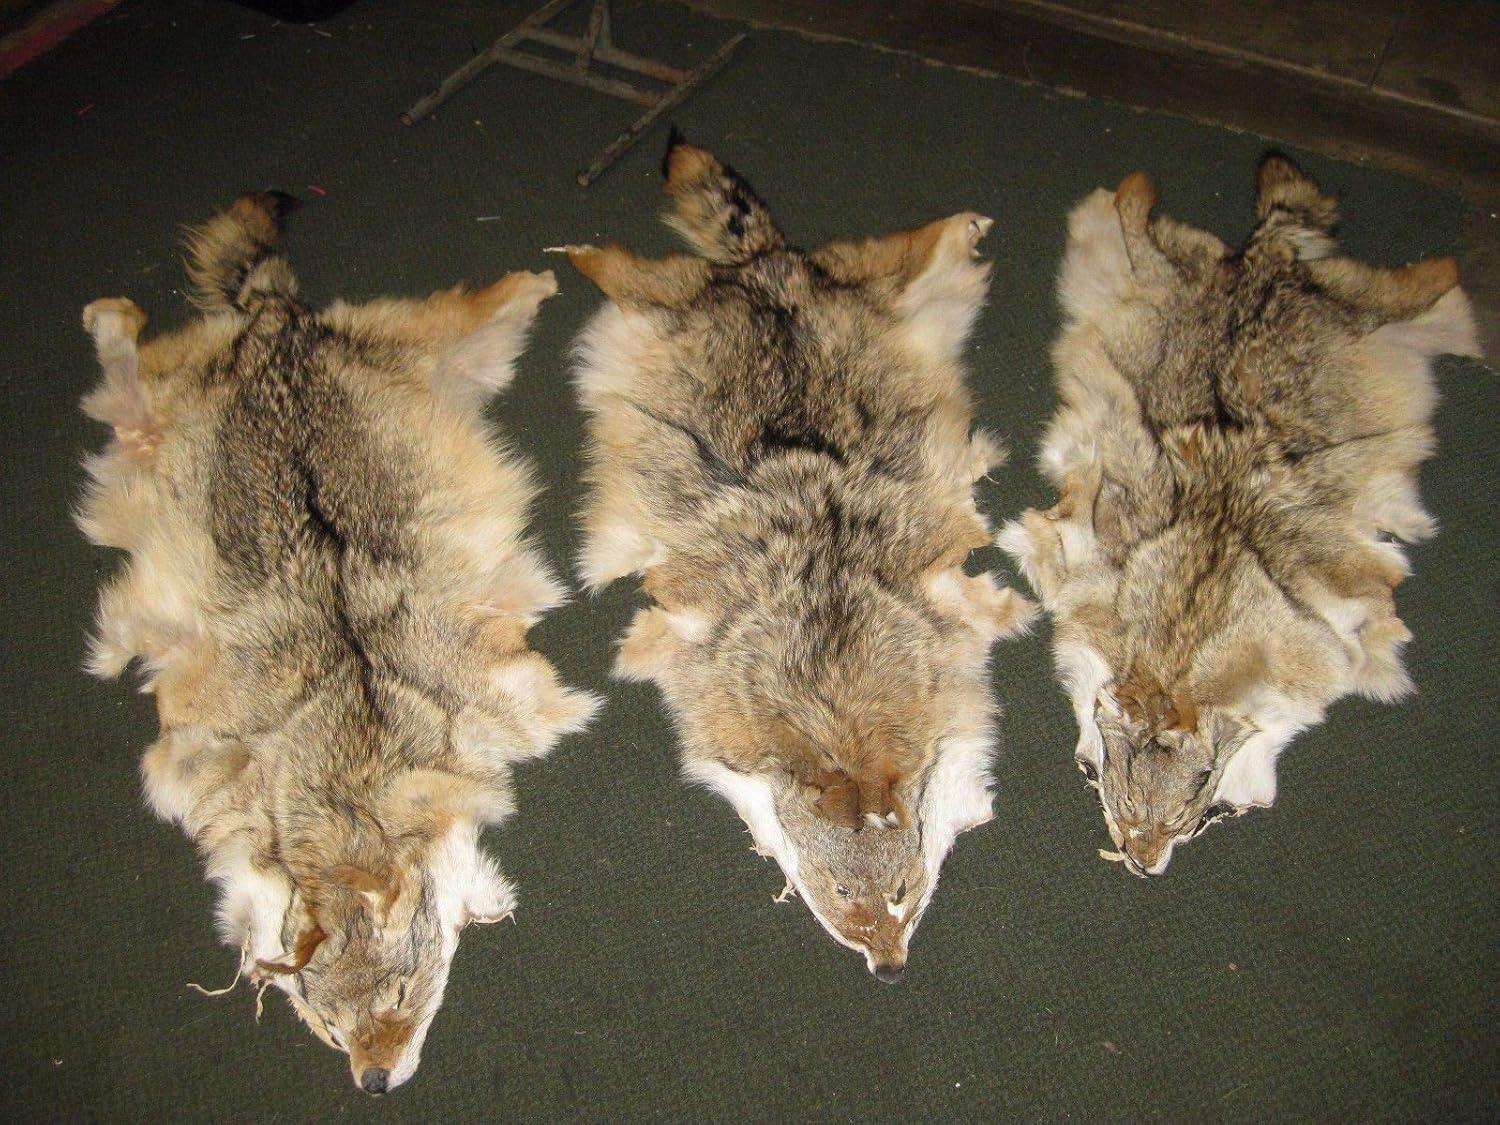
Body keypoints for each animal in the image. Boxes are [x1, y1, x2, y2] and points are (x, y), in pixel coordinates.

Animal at [76, 193, 598, 1091]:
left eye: (398, 995)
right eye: (327, 1027)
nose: (374, 1083)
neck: (357, 771)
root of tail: (274, 326)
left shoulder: (526, 697)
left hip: (458, 355)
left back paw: (542, 275)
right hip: (154, 435)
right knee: (127, 374)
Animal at [562, 136, 1034, 979]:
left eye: (902, 894)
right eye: (845, 894)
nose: (891, 970)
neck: (835, 700)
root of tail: (767, 267)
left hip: (890, 284)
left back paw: (963, 224)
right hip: (655, 305)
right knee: (624, 265)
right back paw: (577, 251)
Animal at [999, 154, 1480, 876]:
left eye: (1184, 815)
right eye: (1119, 803)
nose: (1140, 864)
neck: (1185, 646)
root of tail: (1268, 254)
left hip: (1408, 310)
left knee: (1442, 274)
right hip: (1100, 245)